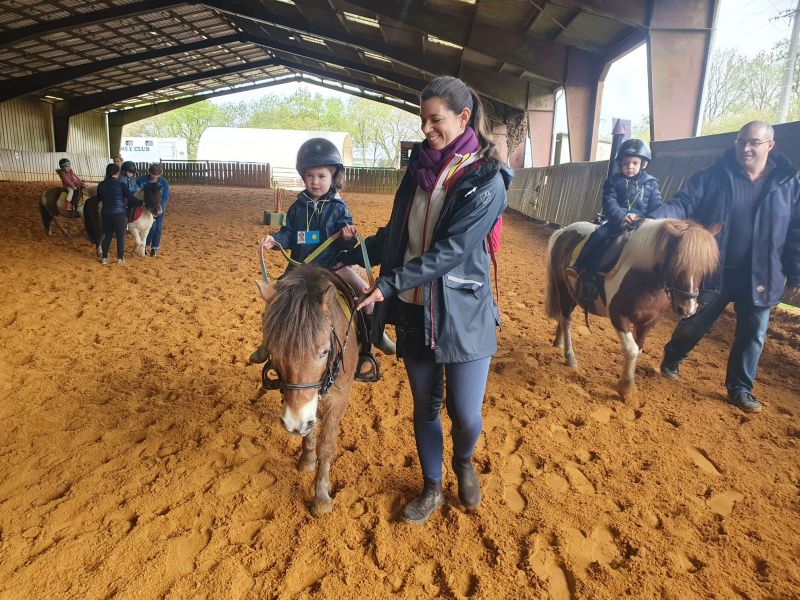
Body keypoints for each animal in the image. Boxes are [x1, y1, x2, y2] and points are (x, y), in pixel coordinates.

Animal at [255, 265, 360, 516]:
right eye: (275, 353)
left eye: (324, 352)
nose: (293, 423)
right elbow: (309, 429)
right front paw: (307, 459)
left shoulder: (338, 399)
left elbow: (326, 445)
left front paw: (321, 497)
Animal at [545, 218, 720, 397]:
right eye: (677, 263)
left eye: (704, 268)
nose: (687, 309)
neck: (643, 276)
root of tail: (564, 230)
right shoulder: (618, 315)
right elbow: (632, 349)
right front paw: (627, 387)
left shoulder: (648, 321)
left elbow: (639, 349)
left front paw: (627, 381)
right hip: (563, 288)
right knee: (566, 320)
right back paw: (570, 357)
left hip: (573, 294)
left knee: (563, 317)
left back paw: (559, 343)